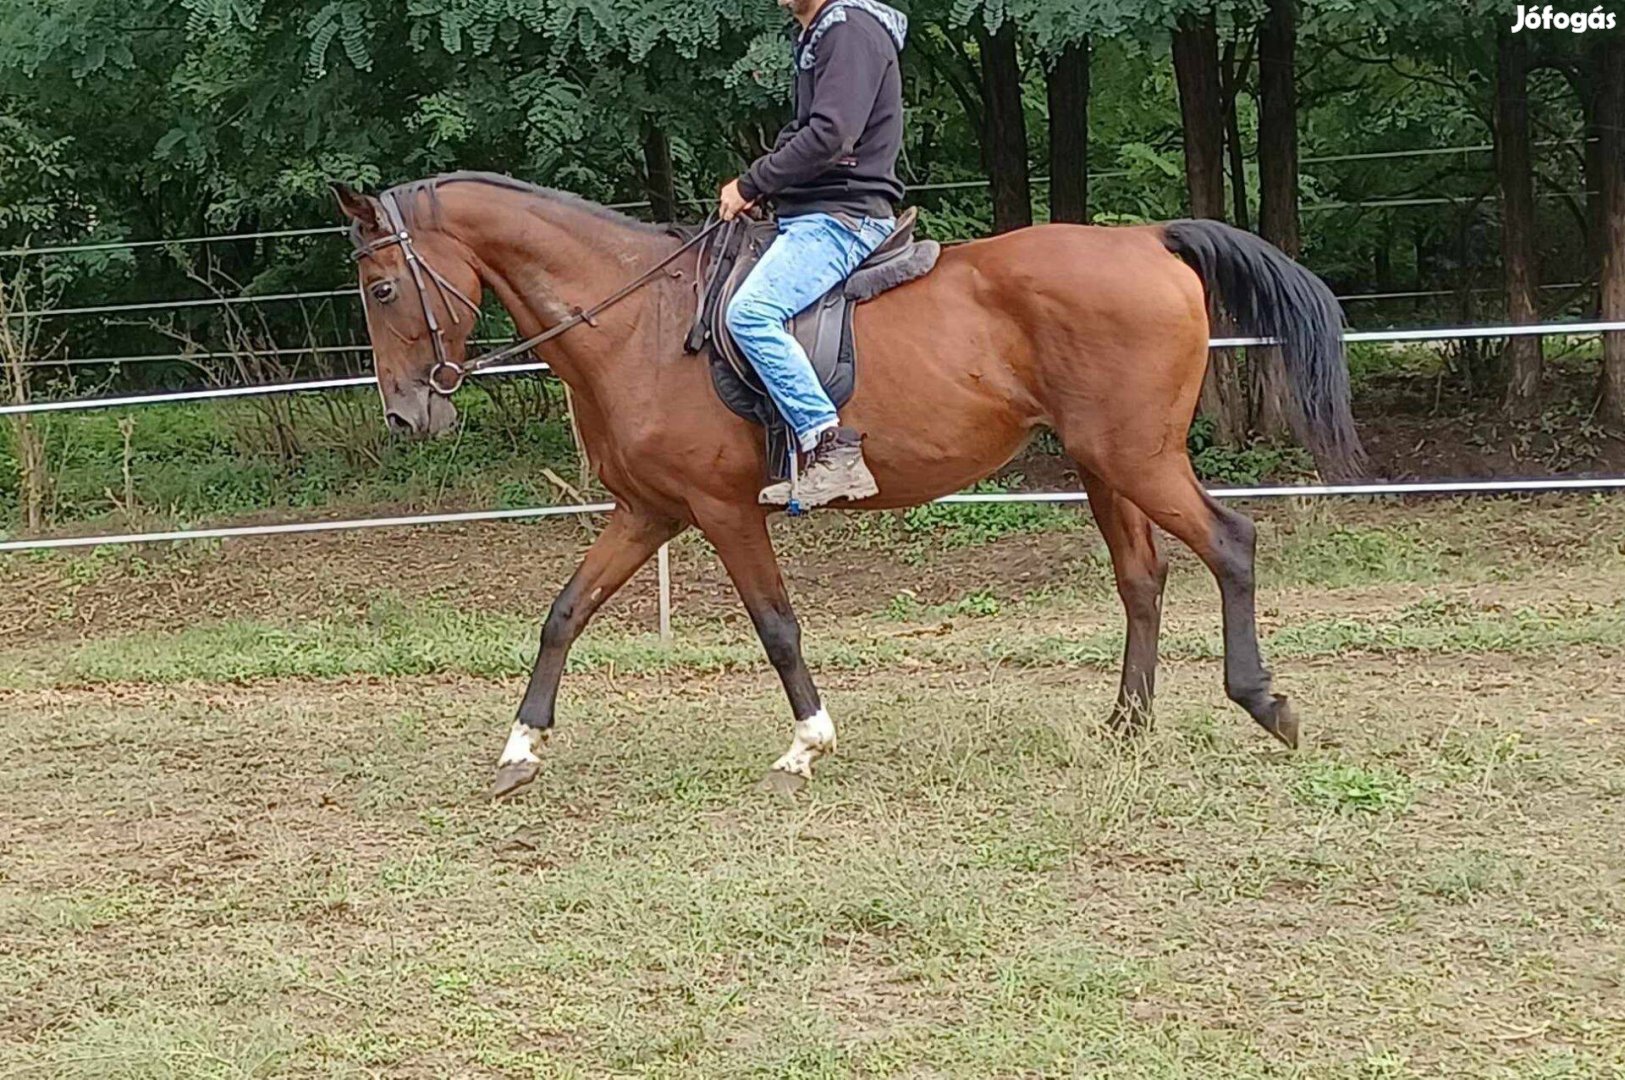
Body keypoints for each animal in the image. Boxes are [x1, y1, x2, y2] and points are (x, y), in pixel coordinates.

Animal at [336, 172, 1365, 795]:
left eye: (383, 290)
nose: (405, 416)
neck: (639, 321)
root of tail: (1149, 240)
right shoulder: (648, 511)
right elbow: (563, 613)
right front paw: (521, 747)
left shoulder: (718, 511)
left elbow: (776, 624)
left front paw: (807, 742)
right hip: (1101, 462)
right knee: (1140, 579)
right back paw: (1124, 727)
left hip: (1138, 457)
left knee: (1230, 544)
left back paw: (1262, 703)